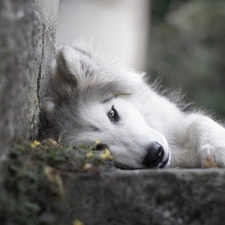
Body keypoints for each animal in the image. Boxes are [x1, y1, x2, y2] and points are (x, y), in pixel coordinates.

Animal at [41, 40, 225, 169]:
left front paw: (217, 147)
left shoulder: (175, 121)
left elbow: (198, 121)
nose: (155, 155)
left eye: (112, 113)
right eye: (97, 147)